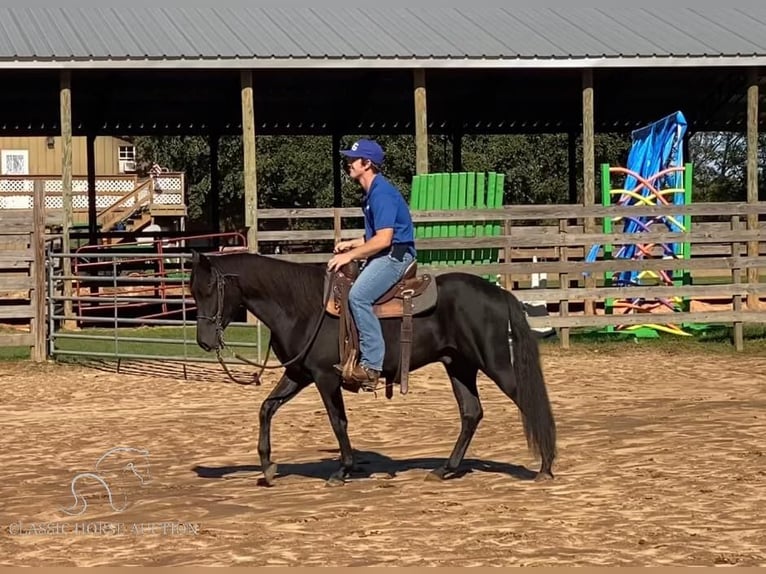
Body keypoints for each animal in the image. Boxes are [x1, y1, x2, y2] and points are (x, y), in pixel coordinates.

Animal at [188, 251, 560, 486]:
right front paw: (267, 467)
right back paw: (445, 469)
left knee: (527, 402)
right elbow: (267, 408)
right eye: (192, 291)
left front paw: (343, 470)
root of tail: (499, 295)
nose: (204, 341)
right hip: (460, 366)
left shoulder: (325, 376)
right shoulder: (299, 374)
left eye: (210, 289)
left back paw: (545, 466)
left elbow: (337, 421)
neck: (302, 307)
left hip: (495, 363)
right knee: (471, 413)